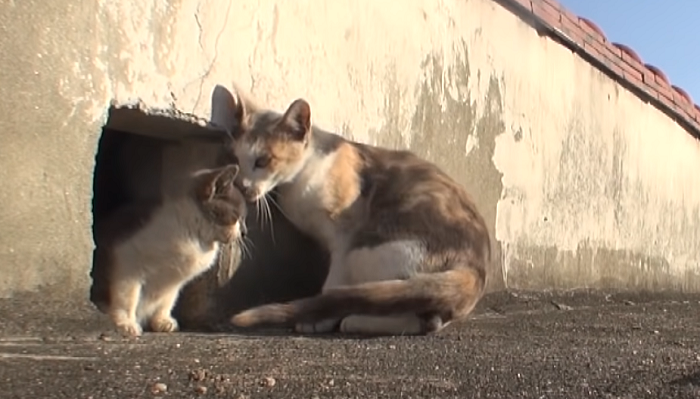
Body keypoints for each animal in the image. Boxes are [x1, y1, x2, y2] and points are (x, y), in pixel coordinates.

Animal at [95, 164, 249, 336]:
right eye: (237, 216)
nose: (245, 232)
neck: (194, 237)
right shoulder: (127, 260)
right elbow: (128, 297)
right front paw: (126, 323)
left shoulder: (174, 281)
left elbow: (167, 300)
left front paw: (162, 321)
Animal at [226, 90, 492, 334]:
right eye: (237, 160)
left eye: (263, 161)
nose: (241, 185)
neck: (300, 179)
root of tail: (474, 268)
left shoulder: (345, 237)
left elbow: (332, 284)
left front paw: (318, 320)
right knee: (427, 318)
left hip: (365, 250)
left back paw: (352, 320)